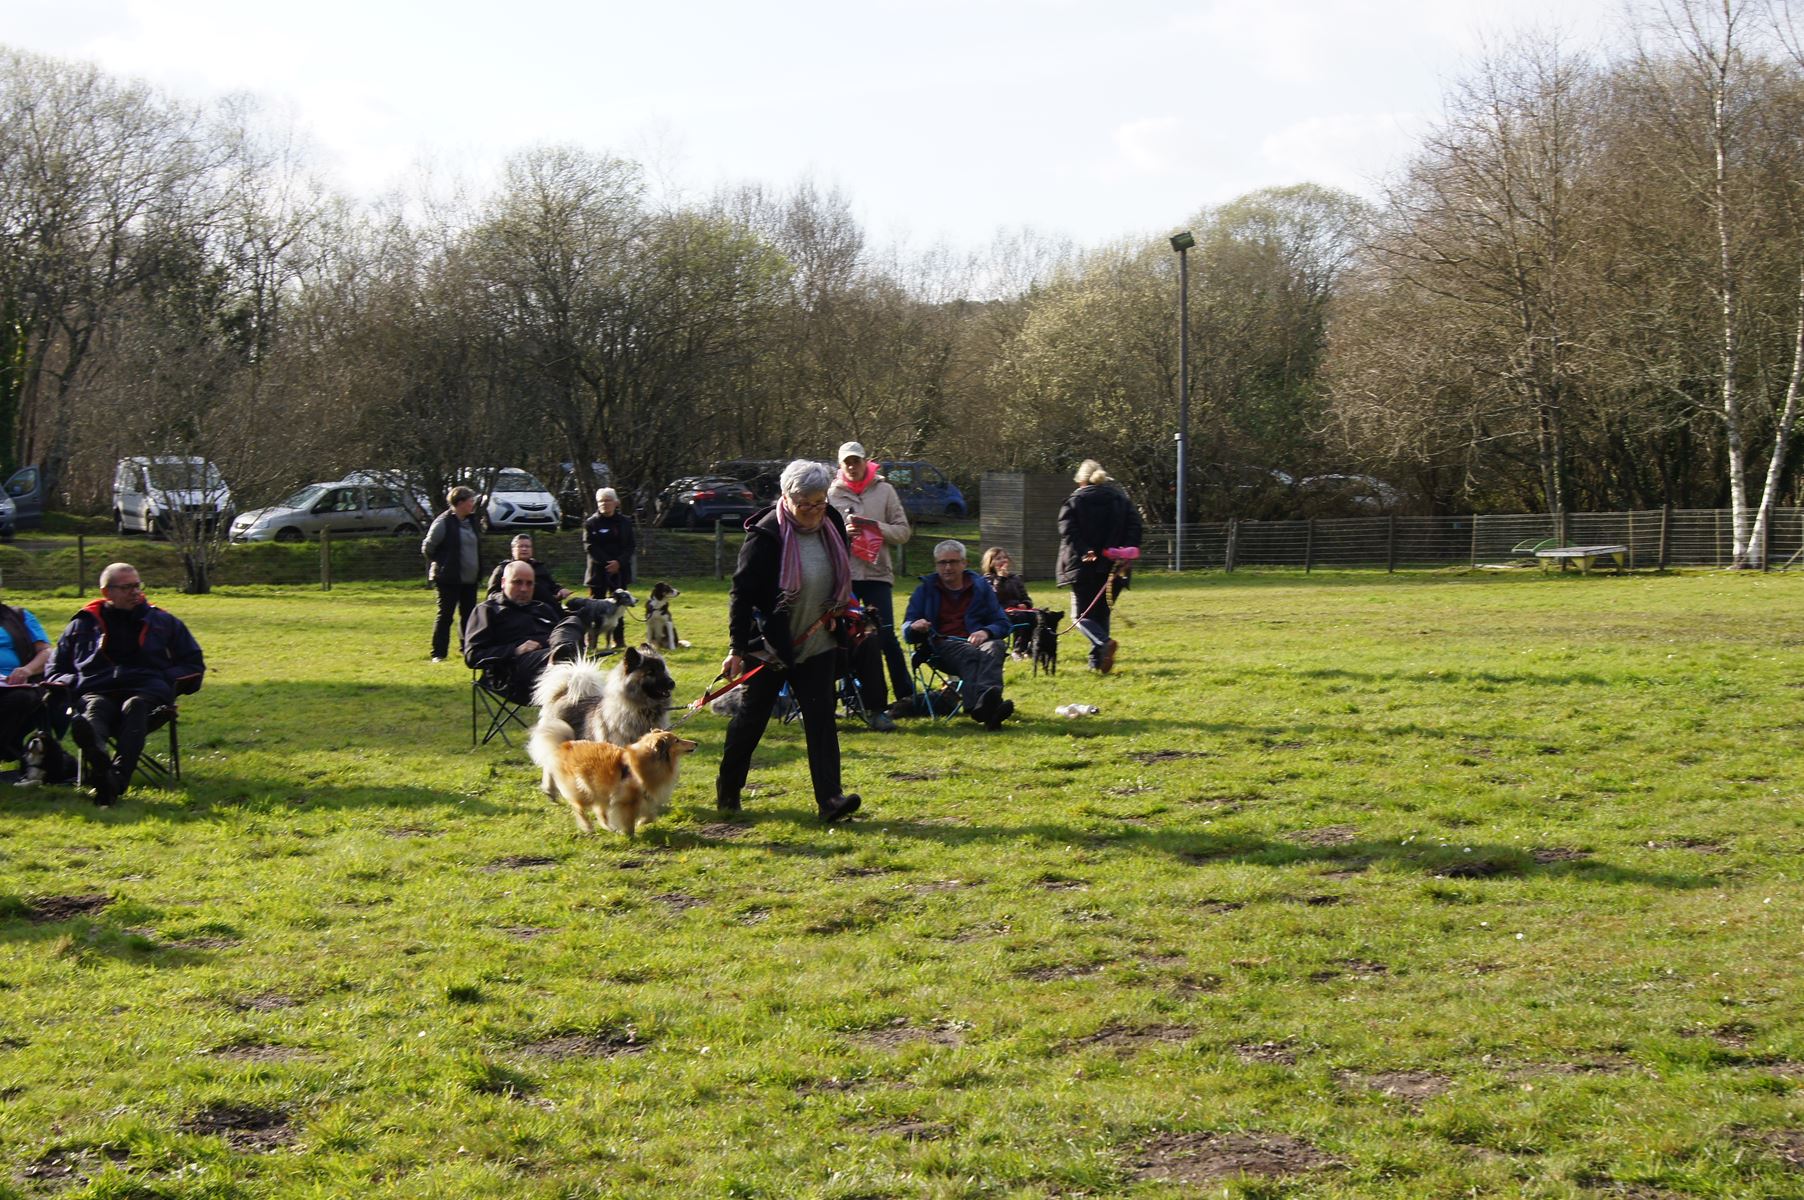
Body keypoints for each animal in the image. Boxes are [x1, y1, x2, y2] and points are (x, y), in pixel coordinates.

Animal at [526, 721, 696, 833]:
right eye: (677, 740)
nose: (696, 743)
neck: (651, 760)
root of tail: (564, 746)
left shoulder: (644, 797)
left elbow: (650, 816)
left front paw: (641, 823)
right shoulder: (627, 800)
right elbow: (628, 820)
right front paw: (629, 834)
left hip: (600, 792)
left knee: (600, 813)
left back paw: (609, 827)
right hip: (585, 791)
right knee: (578, 807)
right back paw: (588, 827)